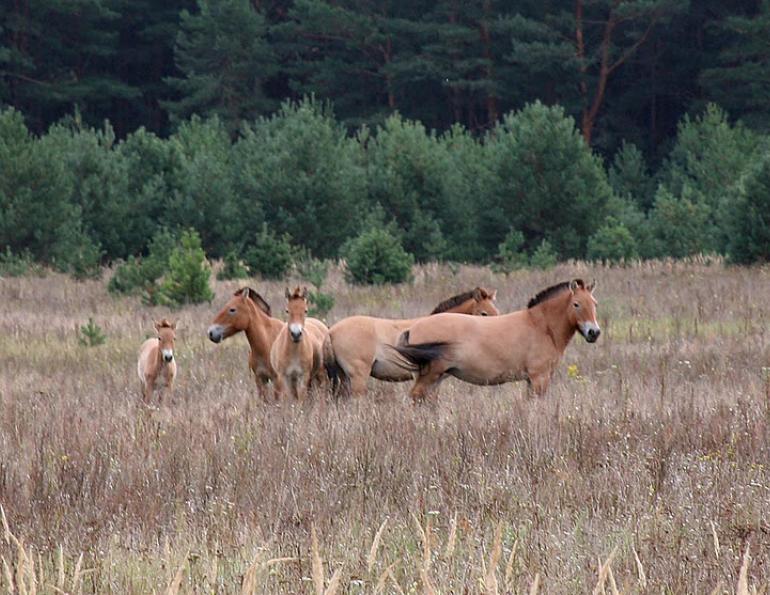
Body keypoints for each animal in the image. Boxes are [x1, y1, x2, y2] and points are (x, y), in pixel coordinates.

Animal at [391, 279, 600, 402]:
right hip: (430, 376)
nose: (594, 332)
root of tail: (413, 327)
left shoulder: (532, 380)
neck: (541, 326)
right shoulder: (539, 378)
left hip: (436, 377)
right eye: (576, 304)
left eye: (594, 304)